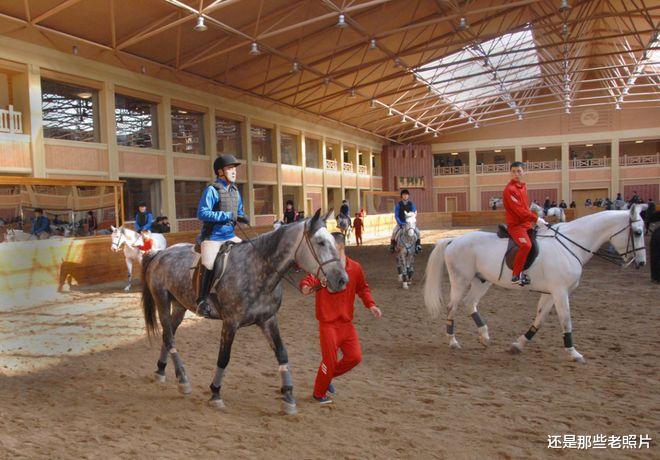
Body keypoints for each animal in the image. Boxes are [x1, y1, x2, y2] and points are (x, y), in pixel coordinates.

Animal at [140, 209, 348, 414]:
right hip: (162, 300)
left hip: (180, 305)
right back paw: (183, 380)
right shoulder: (230, 322)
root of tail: (161, 253)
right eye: (320, 242)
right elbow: (224, 357)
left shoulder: (268, 319)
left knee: (168, 336)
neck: (258, 270)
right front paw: (215, 393)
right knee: (169, 337)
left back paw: (161, 370)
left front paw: (288, 396)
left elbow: (282, 353)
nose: (342, 280)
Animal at [423, 205, 646, 363]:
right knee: (453, 307)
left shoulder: (551, 292)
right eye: (637, 232)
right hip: (460, 280)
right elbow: (566, 320)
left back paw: (484, 337)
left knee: (470, 303)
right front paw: (573, 353)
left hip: (482, 280)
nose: (642, 263)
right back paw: (453, 341)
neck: (570, 244)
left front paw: (518, 345)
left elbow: (540, 318)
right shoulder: (560, 291)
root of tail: (453, 240)